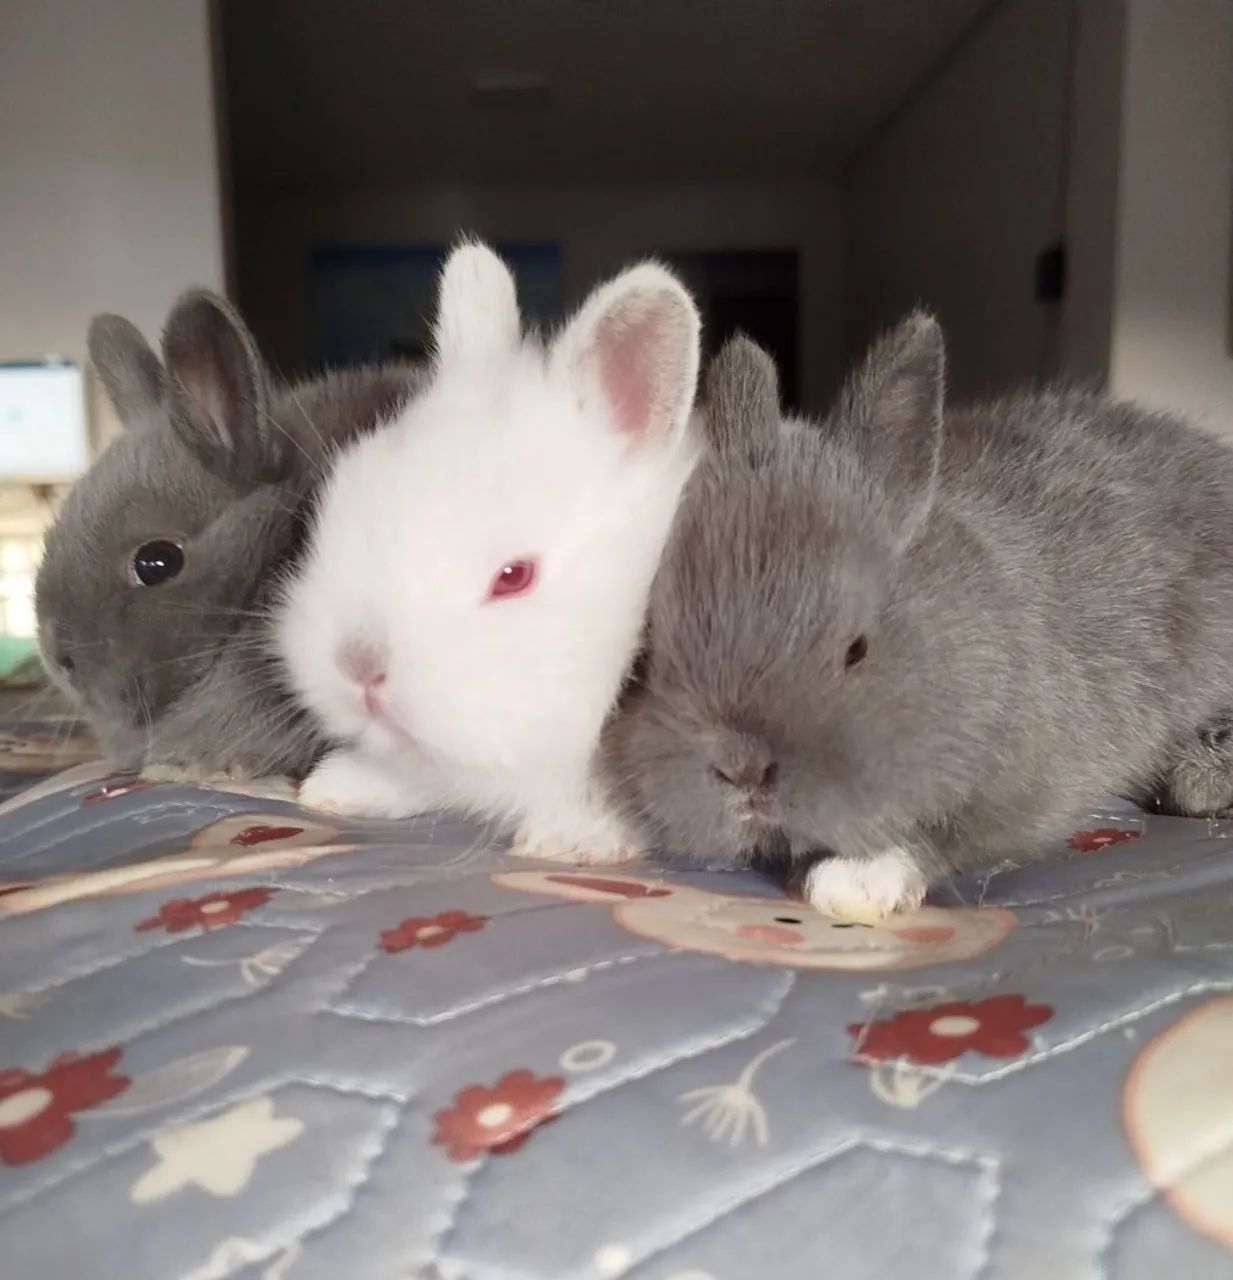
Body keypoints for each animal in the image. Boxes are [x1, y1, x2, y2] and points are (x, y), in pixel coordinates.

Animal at [602, 322, 1233, 920]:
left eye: (857, 649)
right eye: (652, 654)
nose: (744, 768)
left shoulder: (1033, 782)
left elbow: (946, 837)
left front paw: (854, 883)